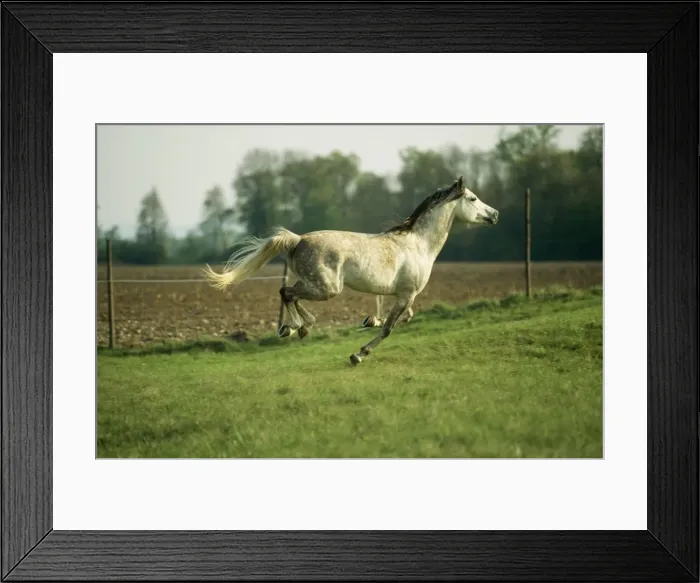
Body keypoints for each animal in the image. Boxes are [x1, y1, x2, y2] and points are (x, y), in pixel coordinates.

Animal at [203, 176, 499, 365]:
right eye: (473, 198)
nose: (495, 214)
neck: (418, 245)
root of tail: (298, 240)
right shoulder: (407, 294)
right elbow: (390, 328)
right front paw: (358, 355)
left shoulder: (403, 295)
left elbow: (403, 319)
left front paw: (368, 320)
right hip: (326, 288)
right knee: (286, 292)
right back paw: (295, 328)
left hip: (317, 285)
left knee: (289, 294)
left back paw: (298, 328)